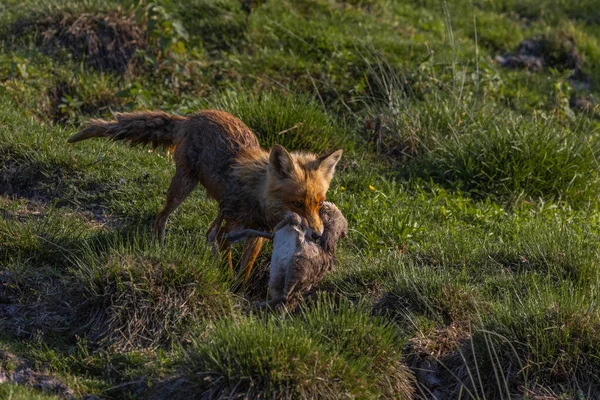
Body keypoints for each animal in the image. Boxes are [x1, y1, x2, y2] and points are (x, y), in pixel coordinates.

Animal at [67, 109, 342, 282]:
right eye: (297, 203)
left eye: (318, 204)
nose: (318, 235)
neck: (258, 201)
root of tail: (193, 116)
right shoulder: (230, 230)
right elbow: (227, 261)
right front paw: (226, 281)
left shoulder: (258, 235)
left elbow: (245, 271)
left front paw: (239, 292)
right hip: (183, 186)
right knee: (161, 218)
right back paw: (160, 247)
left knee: (207, 227)